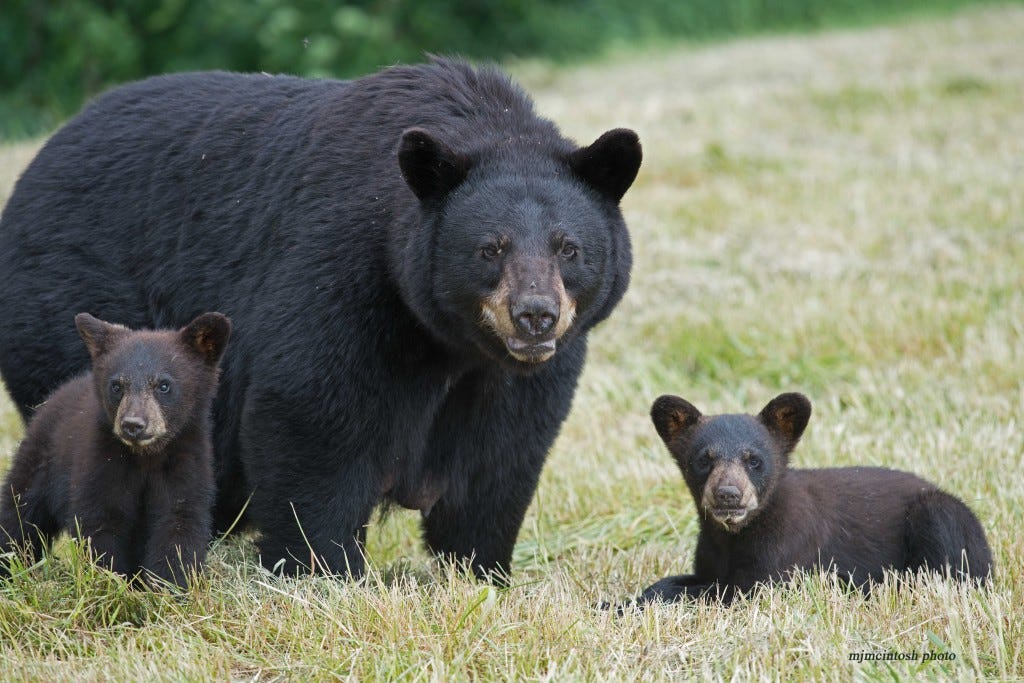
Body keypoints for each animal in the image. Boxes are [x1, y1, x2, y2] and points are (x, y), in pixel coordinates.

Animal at [0, 312, 231, 587]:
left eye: (164, 385)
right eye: (117, 385)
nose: (133, 424)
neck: (145, 458)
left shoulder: (186, 464)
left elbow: (178, 523)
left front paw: (170, 585)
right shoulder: (101, 463)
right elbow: (101, 524)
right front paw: (111, 584)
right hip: (40, 460)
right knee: (19, 512)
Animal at [626, 392, 992, 606]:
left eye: (754, 460)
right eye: (704, 459)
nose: (728, 494)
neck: (733, 535)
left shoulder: (787, 549)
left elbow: (737, 590)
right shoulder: (710, 556)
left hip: (942, 514)